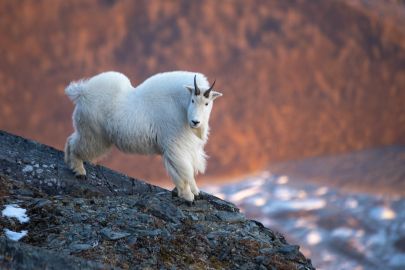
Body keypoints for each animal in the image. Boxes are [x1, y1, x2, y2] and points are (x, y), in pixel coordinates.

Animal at [64, 70, 221, 201]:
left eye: (207, 103)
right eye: (193, 100)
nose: (195, 122)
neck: (181, 105)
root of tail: (82, 92)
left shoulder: (188, 147)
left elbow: (190, 169)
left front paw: (196, 192)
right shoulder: (174, 145)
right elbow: (182, 171)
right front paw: (188, 196)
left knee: (71, 139)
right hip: (94, 134)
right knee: (76, 145)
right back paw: (79, 171)